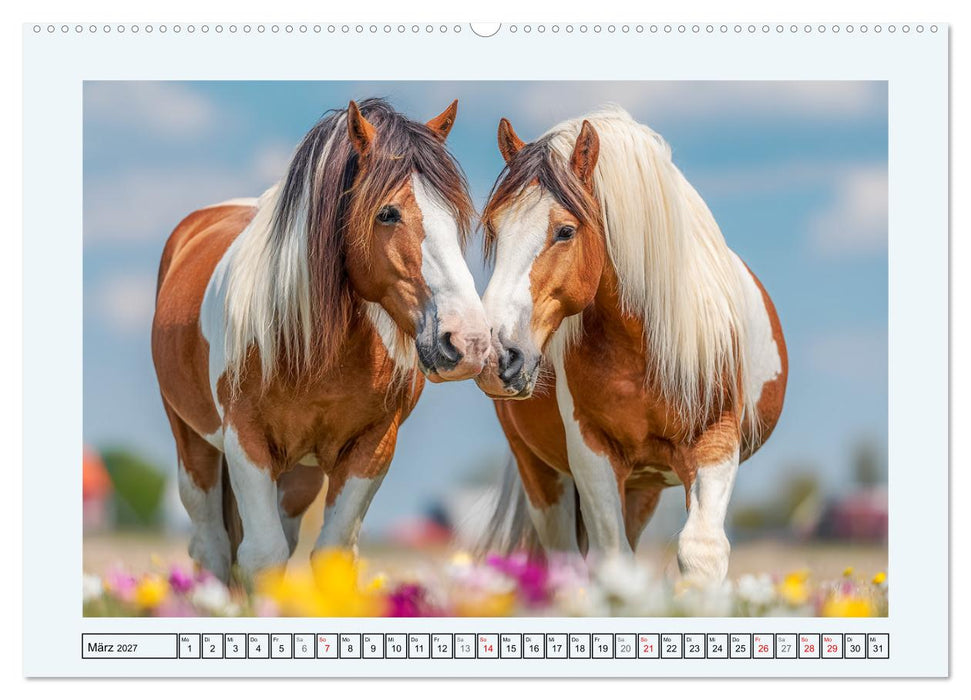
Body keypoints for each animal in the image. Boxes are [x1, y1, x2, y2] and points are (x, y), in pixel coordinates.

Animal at [152, 98, 489, 582]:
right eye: (387, 212)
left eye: (456, 215)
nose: (468, 342)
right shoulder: (244, 441)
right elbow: (262, 556)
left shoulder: (373, 446)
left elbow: (331, 554)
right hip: (193, 446)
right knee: (213, 546)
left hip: (299, 475)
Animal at [475, 107, 788, 583]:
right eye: (493, 227)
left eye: (565, 231)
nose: (496, 357)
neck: (642, 347)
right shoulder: (592, 453)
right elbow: (612, 560)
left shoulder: (715, 440)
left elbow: (701, 550)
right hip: (542, 475)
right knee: (565, 559)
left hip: (645, 486)